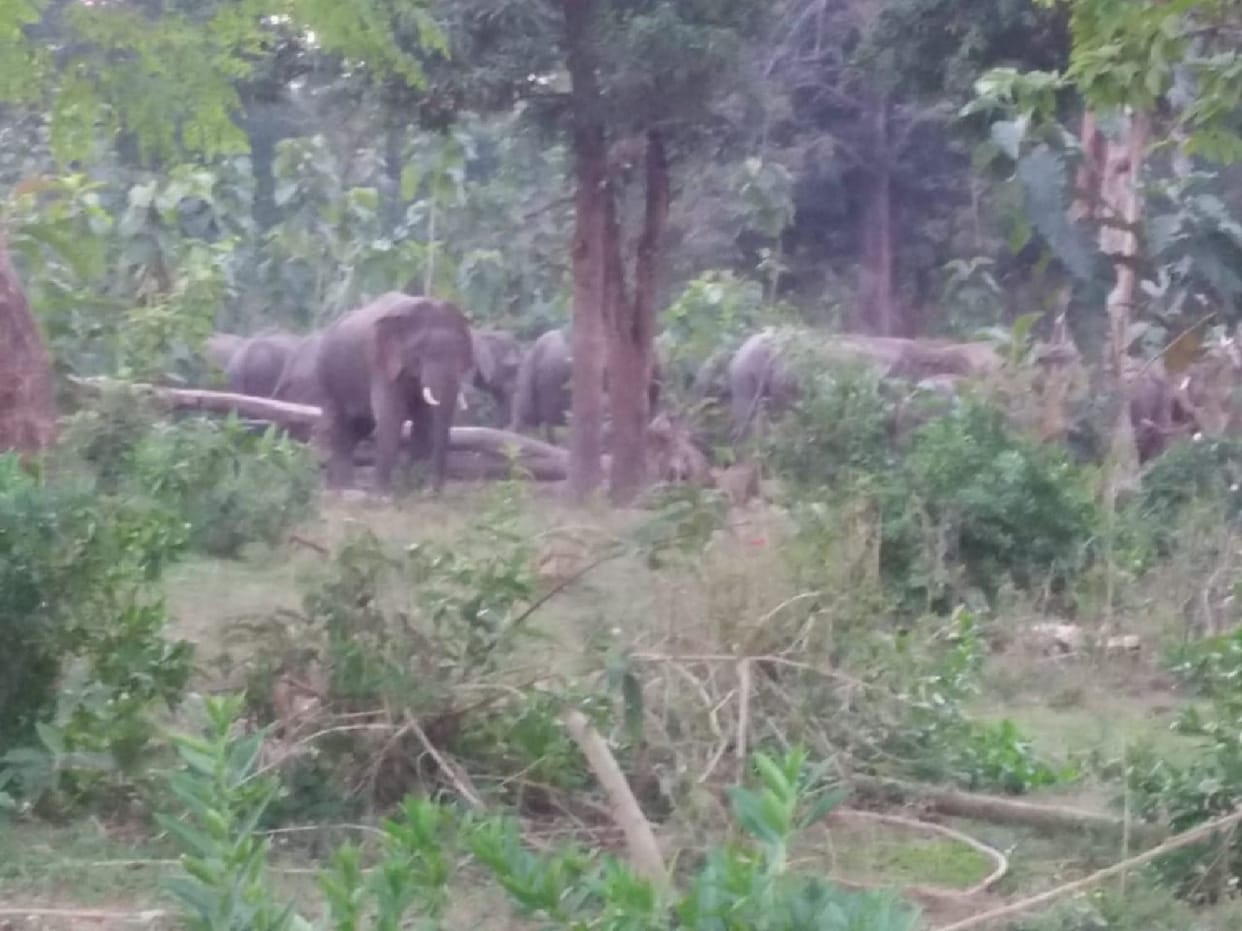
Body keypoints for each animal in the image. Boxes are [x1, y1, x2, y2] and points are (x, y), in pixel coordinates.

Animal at [317, 291, 475, 492]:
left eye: (460, 349)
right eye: (419, 352)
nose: (435, 491)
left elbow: (424, 421)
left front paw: (412, 488)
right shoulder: (381, 364)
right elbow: (391, 416)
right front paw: (382, 493)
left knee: (360, 427)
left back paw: (340, 484)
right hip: (329, 377)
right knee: (340, 425)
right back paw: (342, 487)